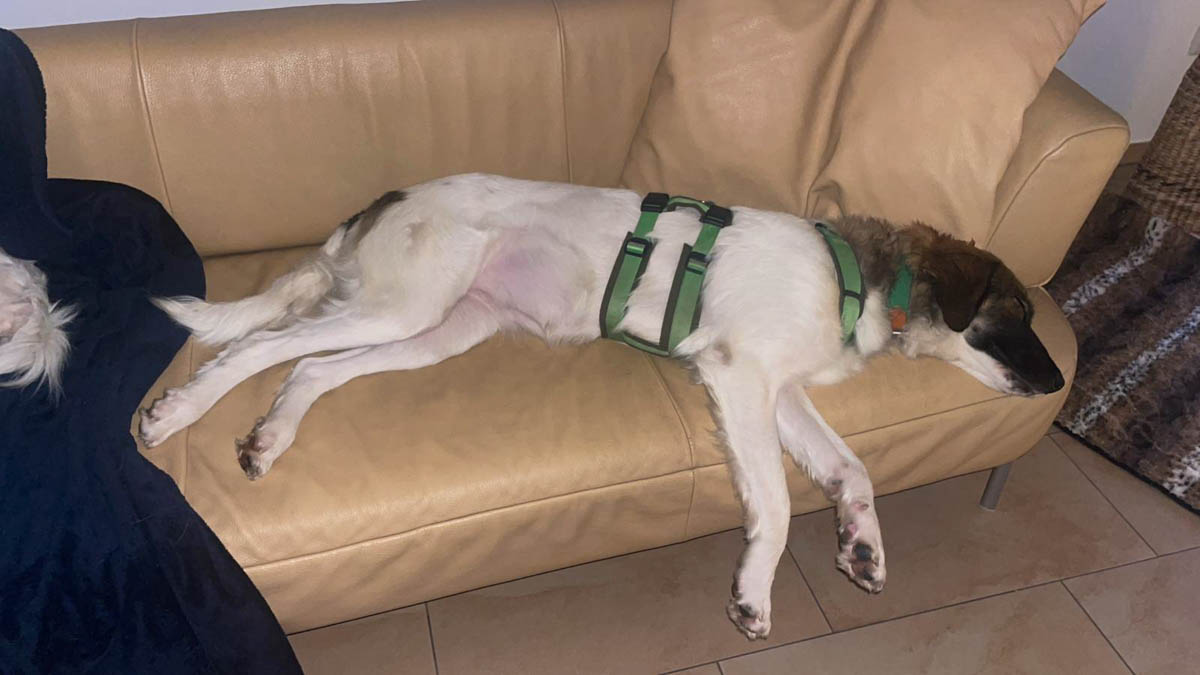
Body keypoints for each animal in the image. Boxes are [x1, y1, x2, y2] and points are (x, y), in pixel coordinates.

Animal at [139, 173, 1064, 639]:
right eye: (1018, 314)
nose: (1062, 384)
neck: (864, 280)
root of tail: (382, 200)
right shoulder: (739, 375)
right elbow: (772, 501)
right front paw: (756, 592)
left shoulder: (780, 391)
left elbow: (852, 468)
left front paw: (864, 545)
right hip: (403, 306)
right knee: (260, 348)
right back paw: (177, 414)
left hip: (439, 327)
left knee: (312, 367)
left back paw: (270, 435)